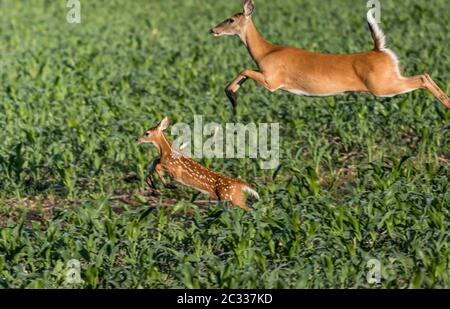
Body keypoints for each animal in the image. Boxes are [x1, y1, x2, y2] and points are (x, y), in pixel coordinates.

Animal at [210, 0, 450, 110]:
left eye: (231, 19)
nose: (213, 30)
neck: (265, 52)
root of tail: (380, 50)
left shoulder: (273, 81)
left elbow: (245, 69)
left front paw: (231, 96)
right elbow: (244, 71)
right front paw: (233, 97)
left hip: (382, 85)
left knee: (422, 77)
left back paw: (447, 105)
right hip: (390, 78)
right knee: (425, 75)